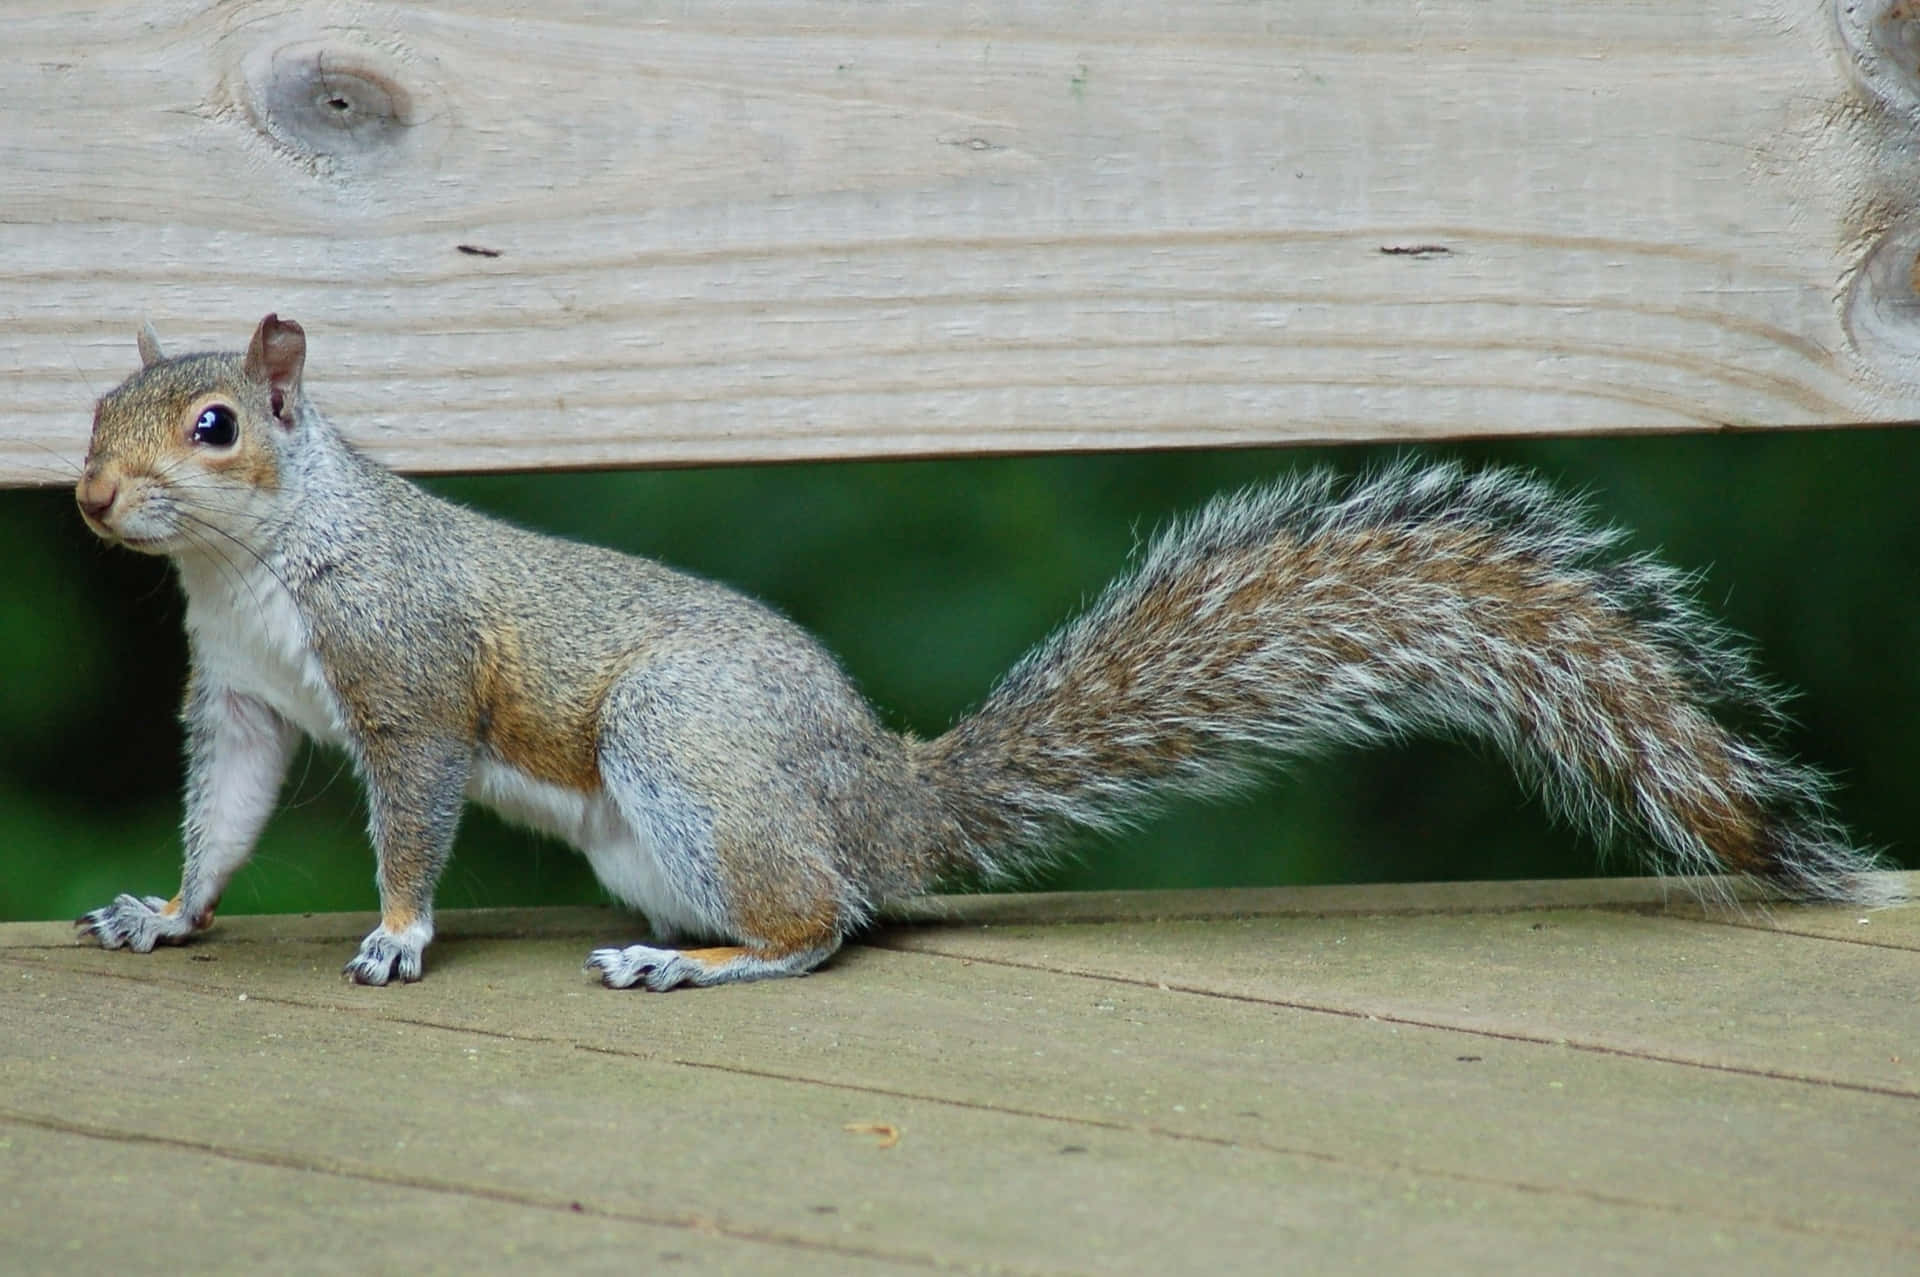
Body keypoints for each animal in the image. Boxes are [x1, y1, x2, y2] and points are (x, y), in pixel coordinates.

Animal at [71, 316, 1889, 983]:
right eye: (94, 407)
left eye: (216, 426)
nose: (83, 496)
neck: (256, 566)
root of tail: (893, 803)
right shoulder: (243, 702)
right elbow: (227, 817)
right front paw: (166, 911)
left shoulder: (411, 679)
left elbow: (411, 816)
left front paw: (392, 933)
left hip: (681, 747)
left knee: (818, 926)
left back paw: (703, 959)